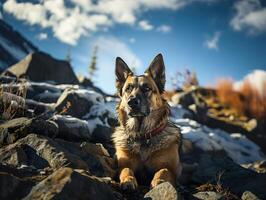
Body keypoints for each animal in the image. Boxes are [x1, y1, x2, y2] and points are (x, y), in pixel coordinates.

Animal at [111, 52, 182, 189]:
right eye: (128, 89)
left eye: (147, 88)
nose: (132, 102)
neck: (142, 135)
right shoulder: (123, 163)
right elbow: (126, 169)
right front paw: (128, 180)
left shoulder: (171, 169)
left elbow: (163, 171)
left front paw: (159, 182)